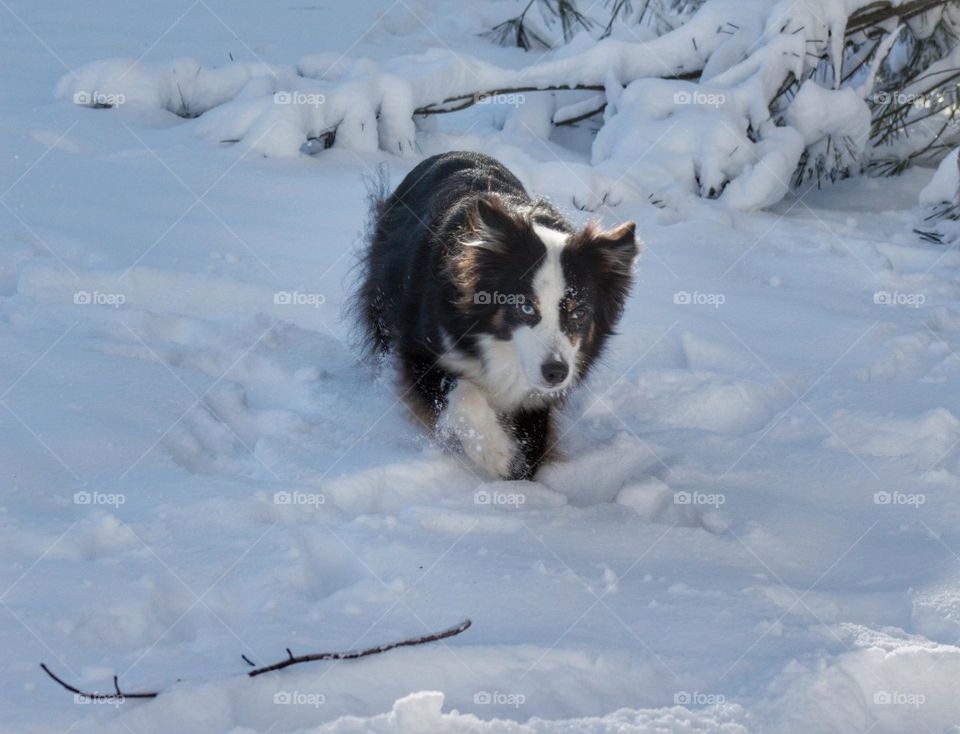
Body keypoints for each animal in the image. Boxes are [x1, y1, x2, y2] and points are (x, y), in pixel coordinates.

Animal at [352, 152, 636, 480]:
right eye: (526, 307)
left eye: (579, 312)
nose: (556, 373)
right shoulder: (421, 345)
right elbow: (460, 390)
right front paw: (496, 454)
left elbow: (535, 423)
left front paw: (524, 469)